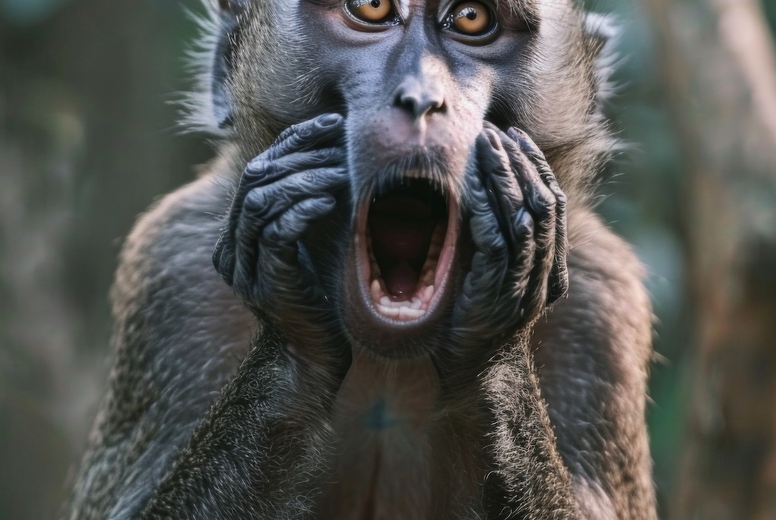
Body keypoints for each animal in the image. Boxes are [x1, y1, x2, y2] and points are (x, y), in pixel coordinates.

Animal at [64, 0, 656, 518]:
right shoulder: (173, 272)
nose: (420, 100)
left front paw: (494, 330)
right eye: (371, 8)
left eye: (471, 18)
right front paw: (296, 329)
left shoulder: (601, 305)